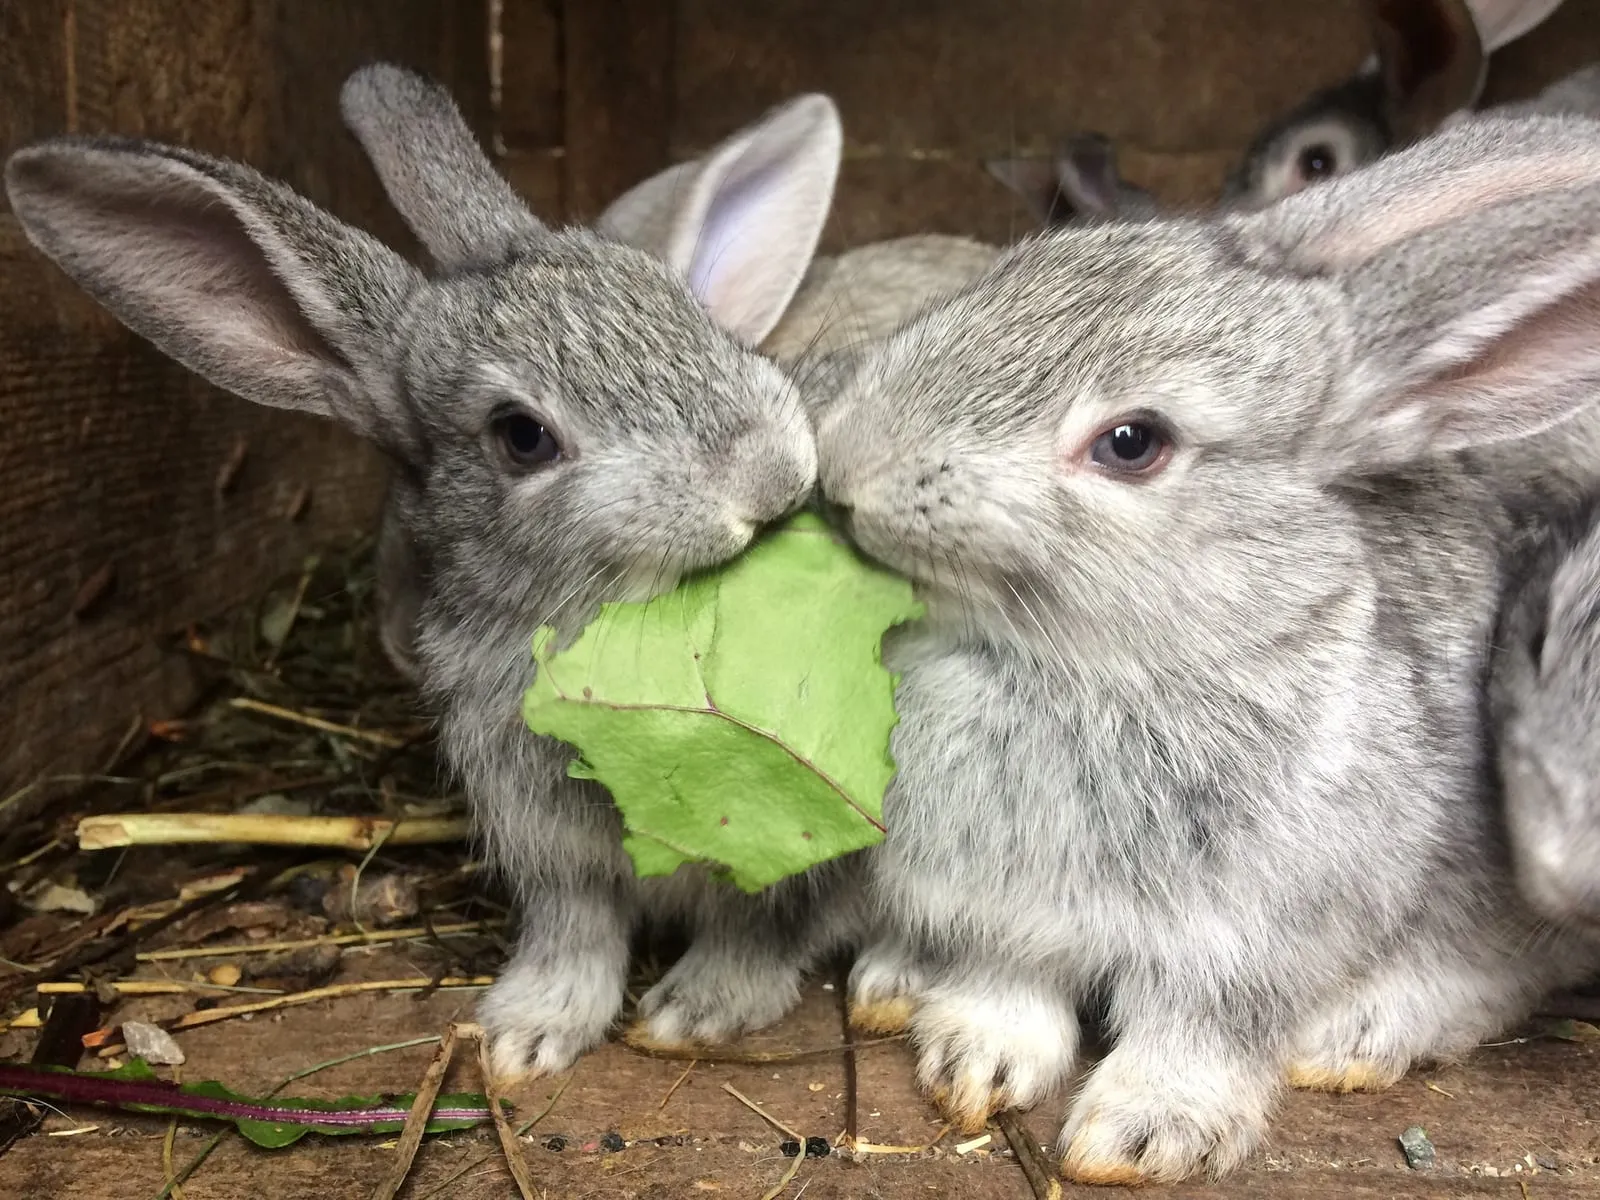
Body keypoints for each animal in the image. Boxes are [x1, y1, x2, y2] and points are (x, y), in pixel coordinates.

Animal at [4, 63, 871, 1079]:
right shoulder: (552, 856)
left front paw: (695, 1013)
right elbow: (577, 935)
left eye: (698, 321)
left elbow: (758, 934)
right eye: (521, 436)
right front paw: (522, 1038)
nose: (769, 475)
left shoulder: (794, 854)